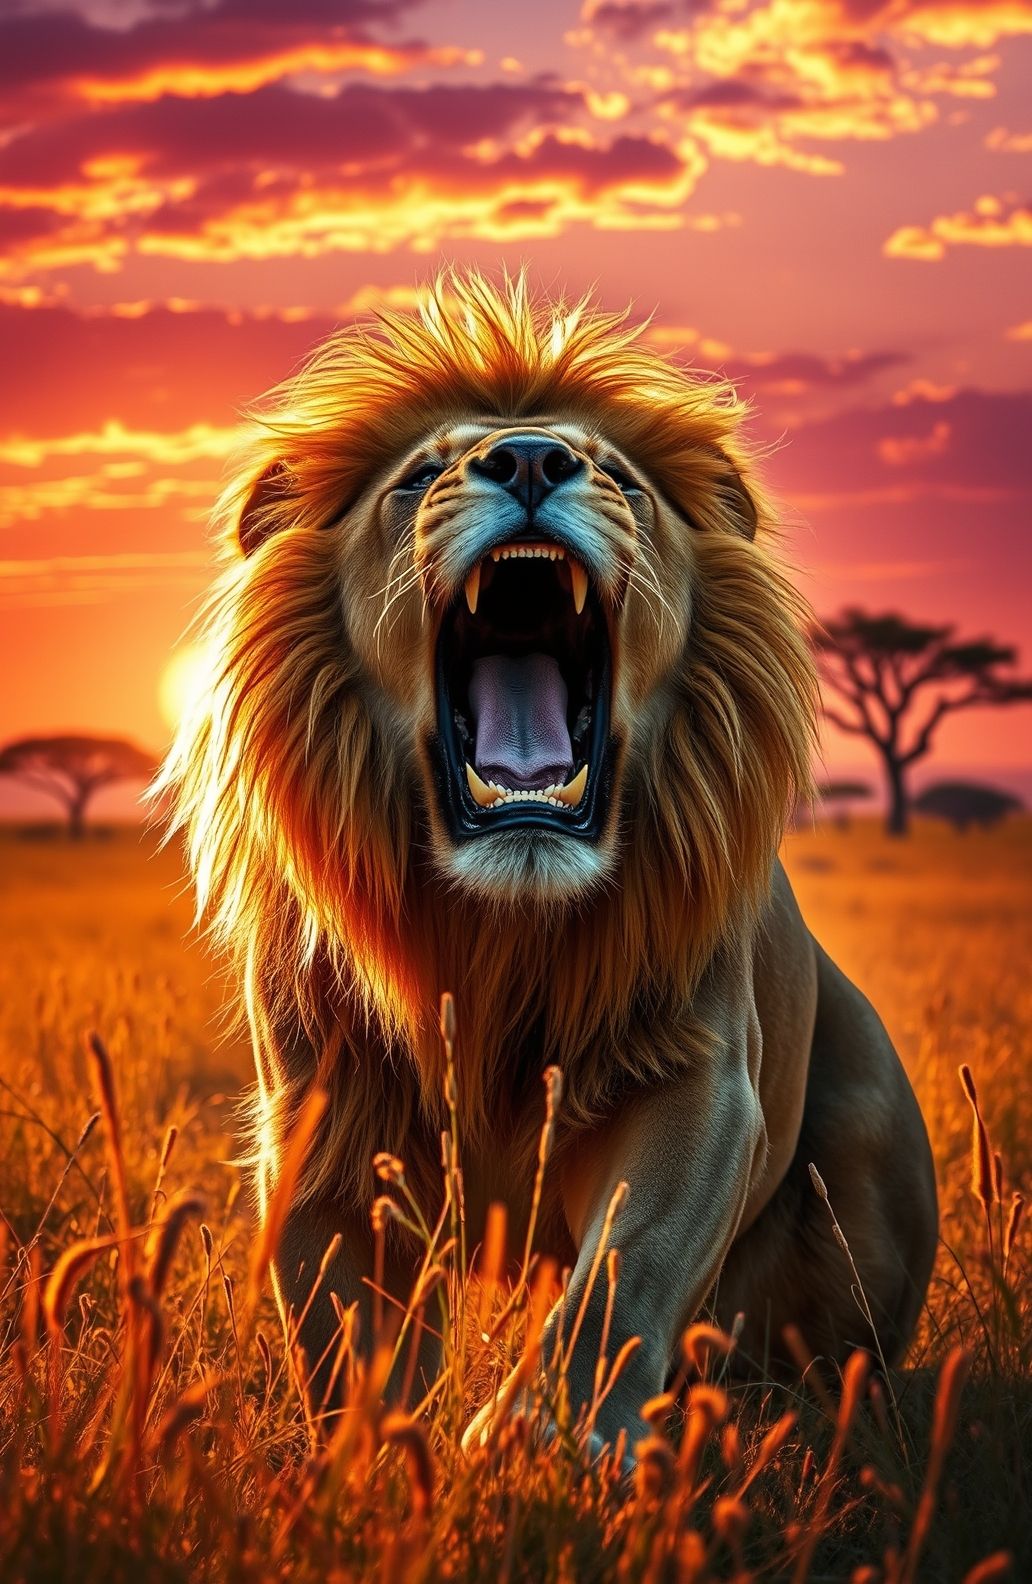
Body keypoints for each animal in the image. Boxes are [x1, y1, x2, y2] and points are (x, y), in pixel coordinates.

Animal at [157, 270, 938, 1461]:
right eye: (418, 476)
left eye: (618, 477)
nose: (529, 461)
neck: (498, 929)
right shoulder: (321, 1117)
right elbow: (344, 1335)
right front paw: (369, 1469)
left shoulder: (703, 1081)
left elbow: (623, 1272)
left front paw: (542, 1441)